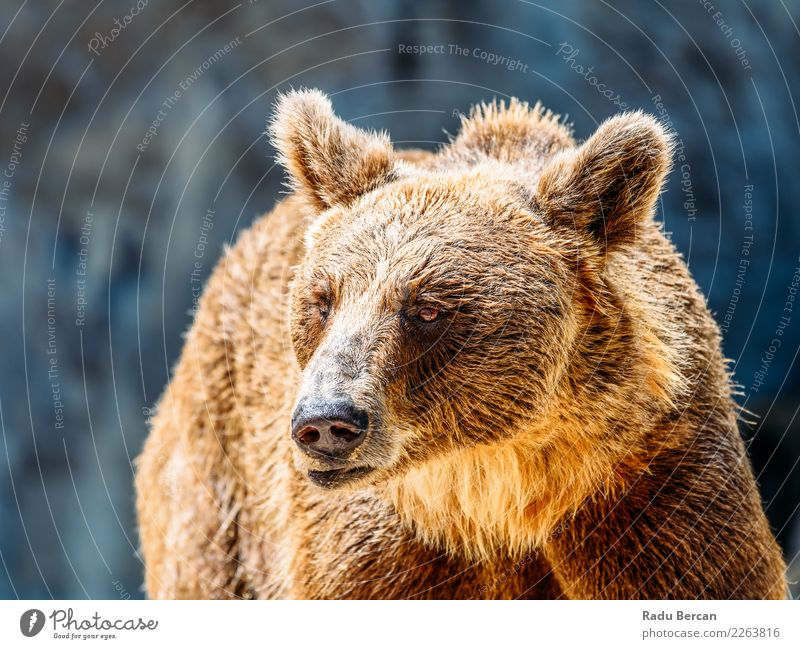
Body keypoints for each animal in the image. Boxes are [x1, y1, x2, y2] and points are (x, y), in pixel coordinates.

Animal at [136, 90, 788, 596]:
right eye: (322, 299)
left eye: (426, 308)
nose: (326, 422)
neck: (496, 487)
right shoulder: (382, 551)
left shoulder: (651, 492)